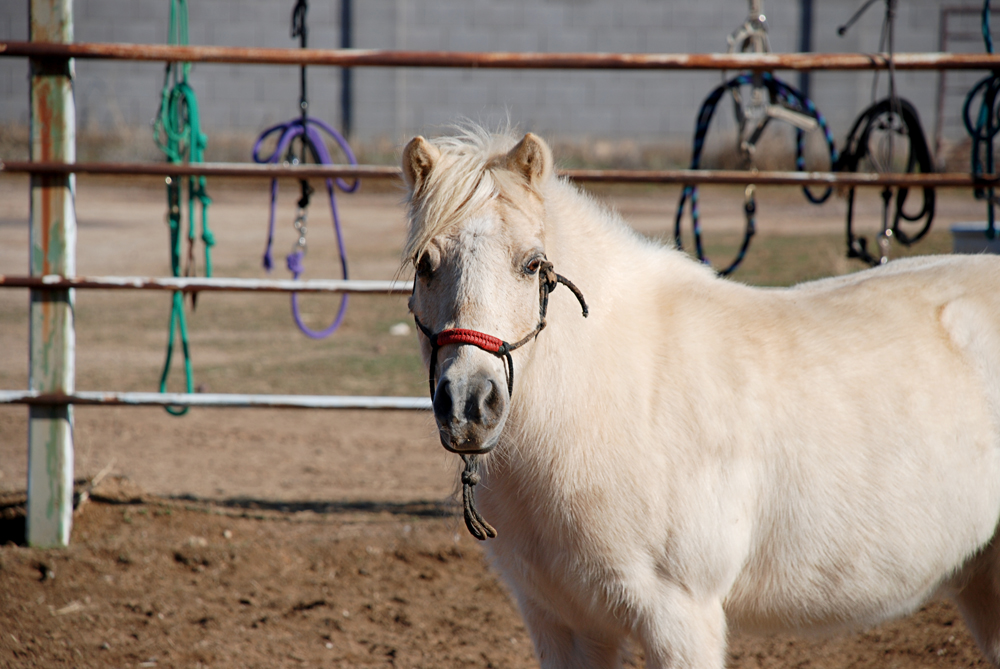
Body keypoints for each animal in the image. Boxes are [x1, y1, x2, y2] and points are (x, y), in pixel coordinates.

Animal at [402, 126, 1000, 668]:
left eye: (531, 264)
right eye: (424, 264)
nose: (469, 405)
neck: (612, 396)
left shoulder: (680, 617)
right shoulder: (562, 623)